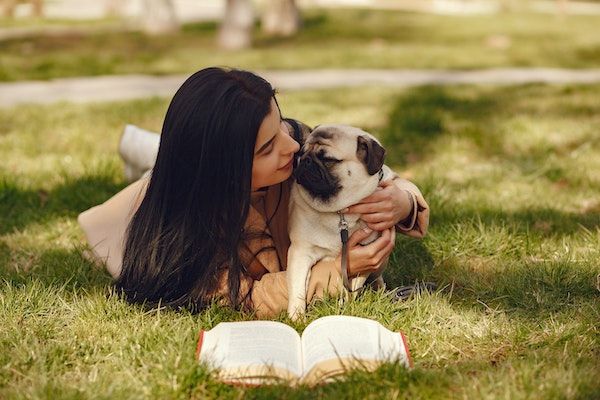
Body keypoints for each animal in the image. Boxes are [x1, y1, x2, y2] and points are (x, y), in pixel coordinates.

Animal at [284, 123, 396, 320]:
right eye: (301, 153)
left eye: (328, 160)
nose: (305, 160)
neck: (339, 212)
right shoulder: (300, 253)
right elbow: (297, 288)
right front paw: (297, 317)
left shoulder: (368, 255)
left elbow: (354, 286)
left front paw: (347, 306)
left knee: (377, 278)